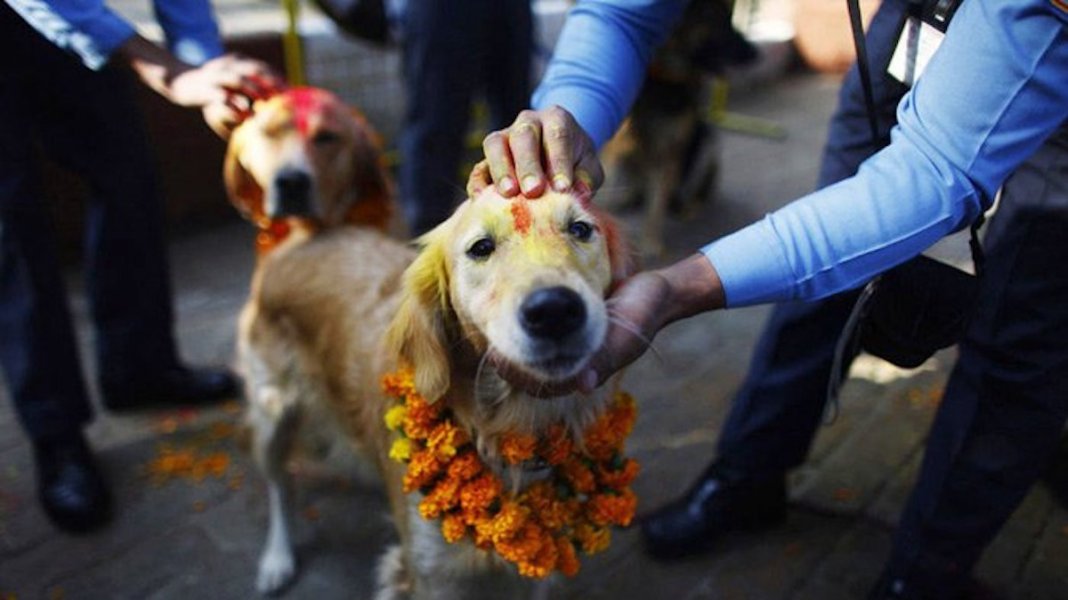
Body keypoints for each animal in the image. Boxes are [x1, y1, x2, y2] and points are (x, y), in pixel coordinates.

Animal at [230, 116, 632, 593]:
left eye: (580, 229)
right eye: (481, 248)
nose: (554, 311)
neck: (506, 425)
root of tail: (308, 235)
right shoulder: (427, 572)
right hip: (272, 410)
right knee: (280, 486)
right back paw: (277, 558)